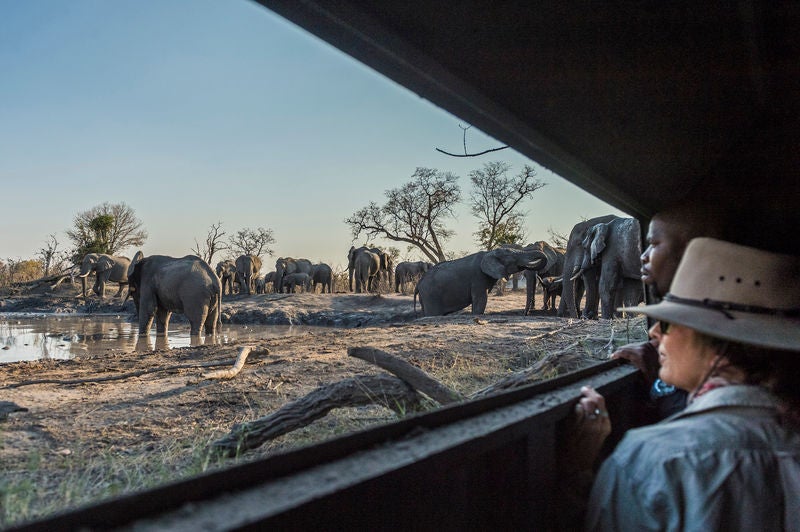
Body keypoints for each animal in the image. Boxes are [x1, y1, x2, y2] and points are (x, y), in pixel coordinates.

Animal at [412, 246, 552, 316]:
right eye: (512, 258)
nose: (525, 314)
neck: (489, 253)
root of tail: (418, 284)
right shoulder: (478, 277)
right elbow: (481, 299)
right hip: (430, 294)